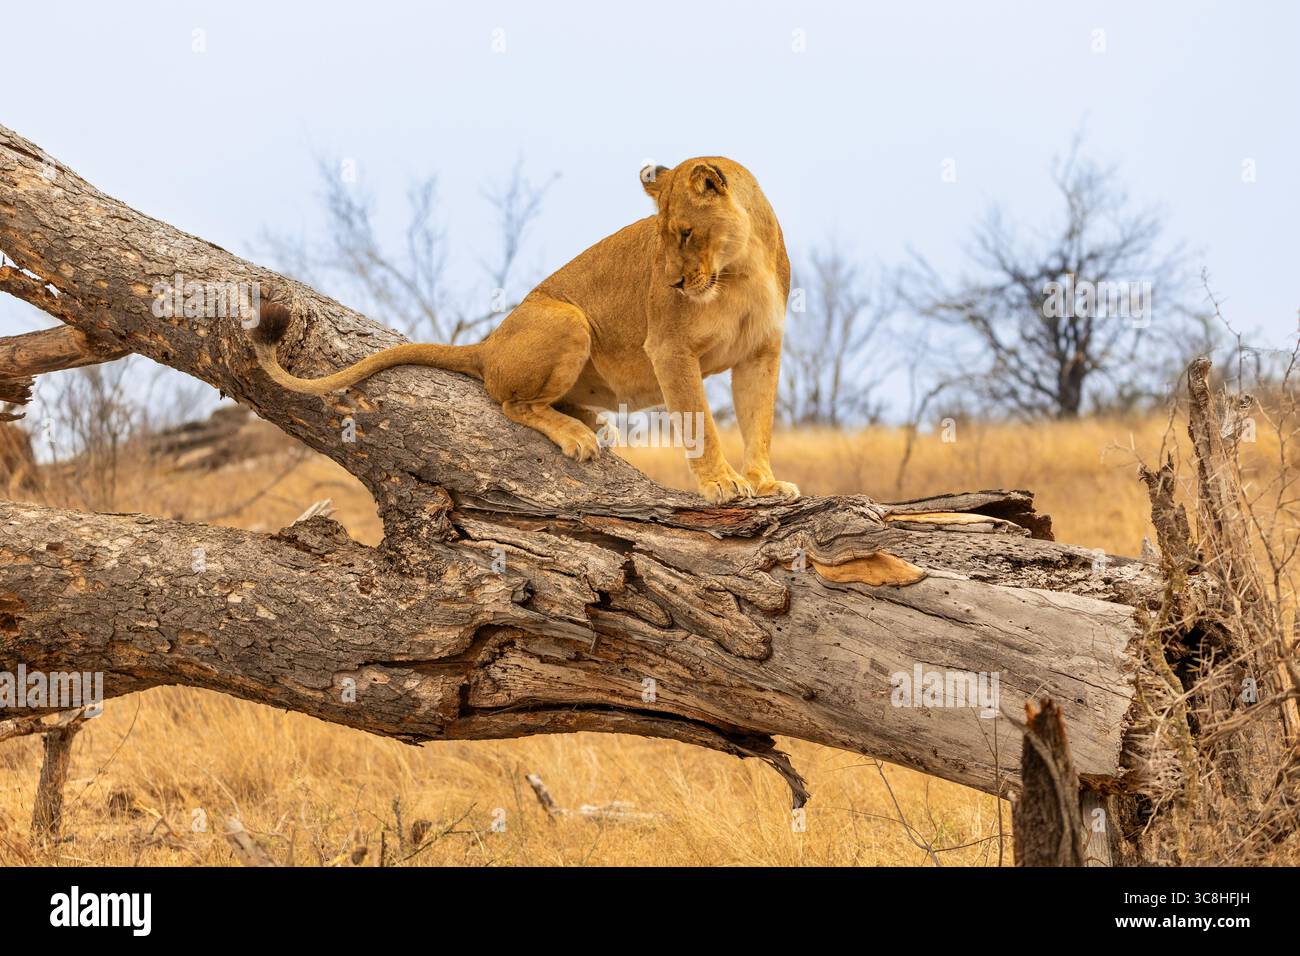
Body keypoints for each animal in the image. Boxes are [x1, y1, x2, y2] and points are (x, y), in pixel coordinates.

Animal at [252, 156, 799, 504]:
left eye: (685, 233)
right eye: (660, 239)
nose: (672, 282)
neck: (738, 271)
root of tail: (488, 344)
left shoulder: (762, 352)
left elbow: (759, 424)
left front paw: (766, 483)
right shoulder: (668, 347)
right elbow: (700, 422)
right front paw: (722, 484)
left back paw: (594, 423)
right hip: (569, 320)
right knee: (514, 403)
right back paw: (578, 435)